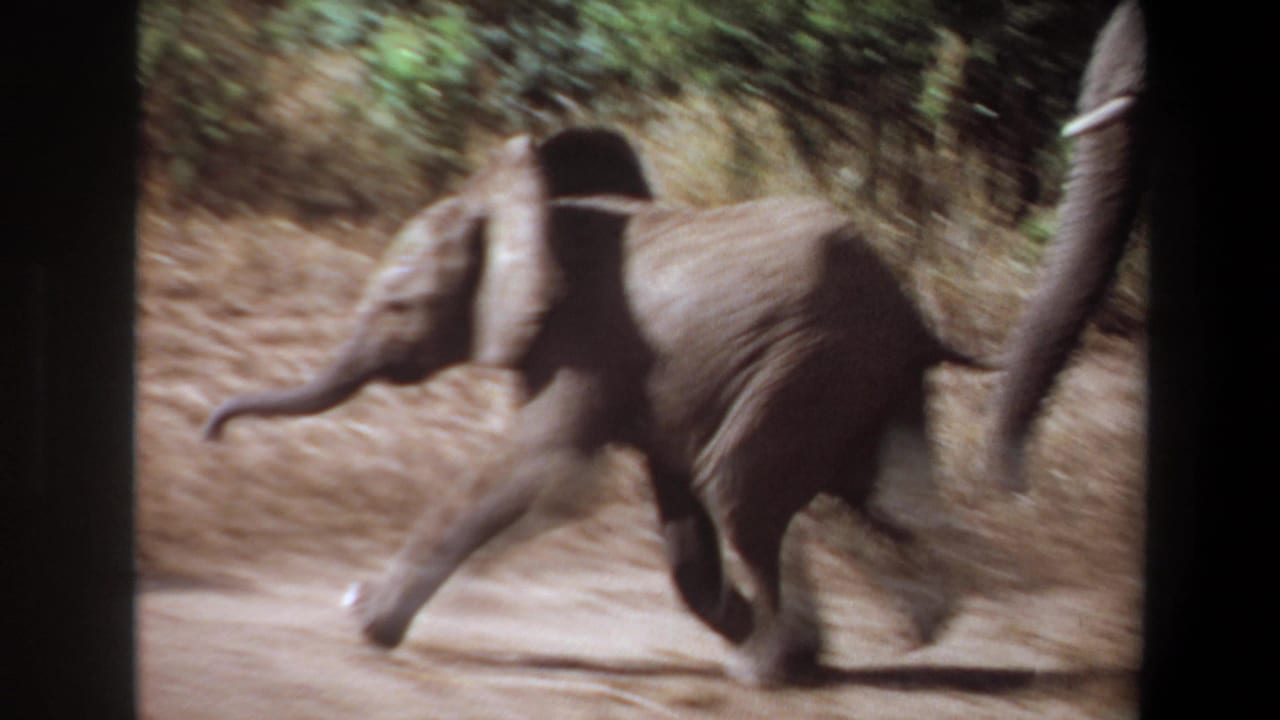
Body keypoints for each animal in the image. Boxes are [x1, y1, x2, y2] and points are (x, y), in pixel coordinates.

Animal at [203, 126, 990, 685]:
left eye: (400, 306)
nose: (212, 433)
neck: (520, 210)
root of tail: (913, 314)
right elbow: (679, 531)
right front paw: (794, 647)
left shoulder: (582, 340)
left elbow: (531, 465)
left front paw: (366, 622)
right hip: (851, 376)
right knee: (879, 495)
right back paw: (912, 631)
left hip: (809, 365)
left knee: (741, 493)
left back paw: (761, 673)